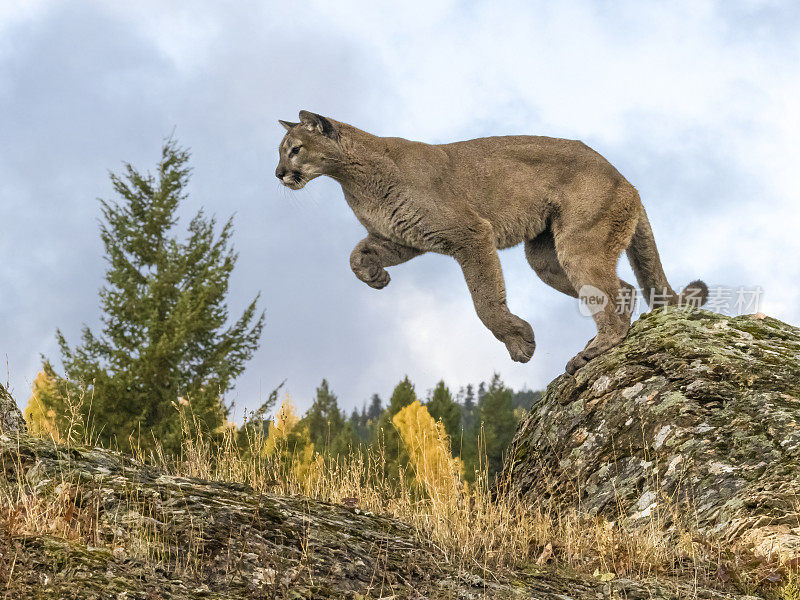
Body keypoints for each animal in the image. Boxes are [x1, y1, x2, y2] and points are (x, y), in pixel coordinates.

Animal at [276, 110, 708, 372]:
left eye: (295, 149)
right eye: (282, 151)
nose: (278, 173)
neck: (352, 178)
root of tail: (625, 178)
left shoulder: (471, 235)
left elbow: (485, 303)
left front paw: (520, 342)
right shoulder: (402, 238)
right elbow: (354, 255)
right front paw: (375, 277)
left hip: (579, 243)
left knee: (610, 293)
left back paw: (595, 350)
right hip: (546, 259)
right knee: (624, 289)